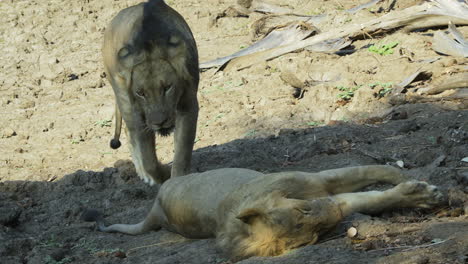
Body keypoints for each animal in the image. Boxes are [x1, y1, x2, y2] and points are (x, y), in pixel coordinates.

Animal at [84, 165, 442, 260]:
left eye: (303, 209)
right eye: (313, 237)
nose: (334, 215)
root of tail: (157, 210)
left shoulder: (318, 180)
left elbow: (374, 172)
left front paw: (410, 180)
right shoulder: (327, 192)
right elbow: (372, 198)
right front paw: (423, 193)